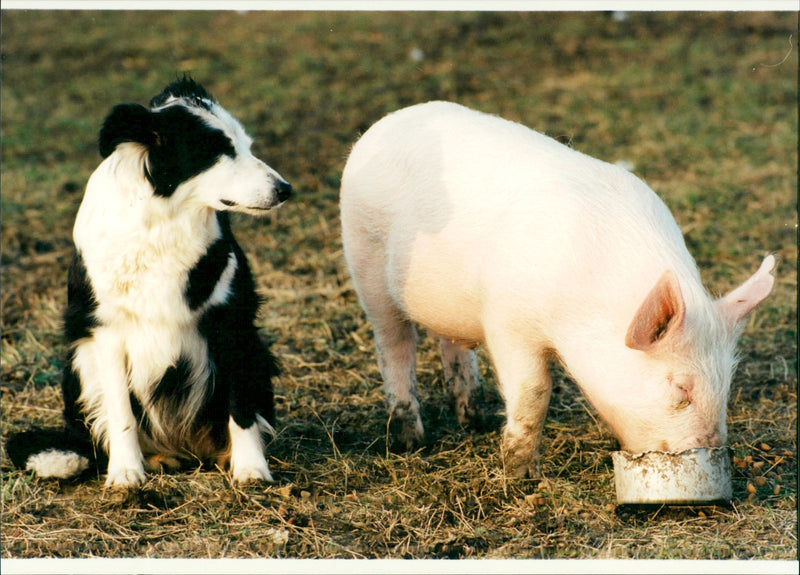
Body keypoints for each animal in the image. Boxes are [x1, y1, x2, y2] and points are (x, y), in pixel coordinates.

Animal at [339, 101, 775, 478]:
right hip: (365, 264)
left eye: (727, 380)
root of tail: (383, 125)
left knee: (453, 345)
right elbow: (534, 390)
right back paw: (411, 440)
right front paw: (521, 476)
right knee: (394, 344)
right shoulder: (506, 320)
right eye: (681, 388)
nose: (711, 449)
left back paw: (475, 420)